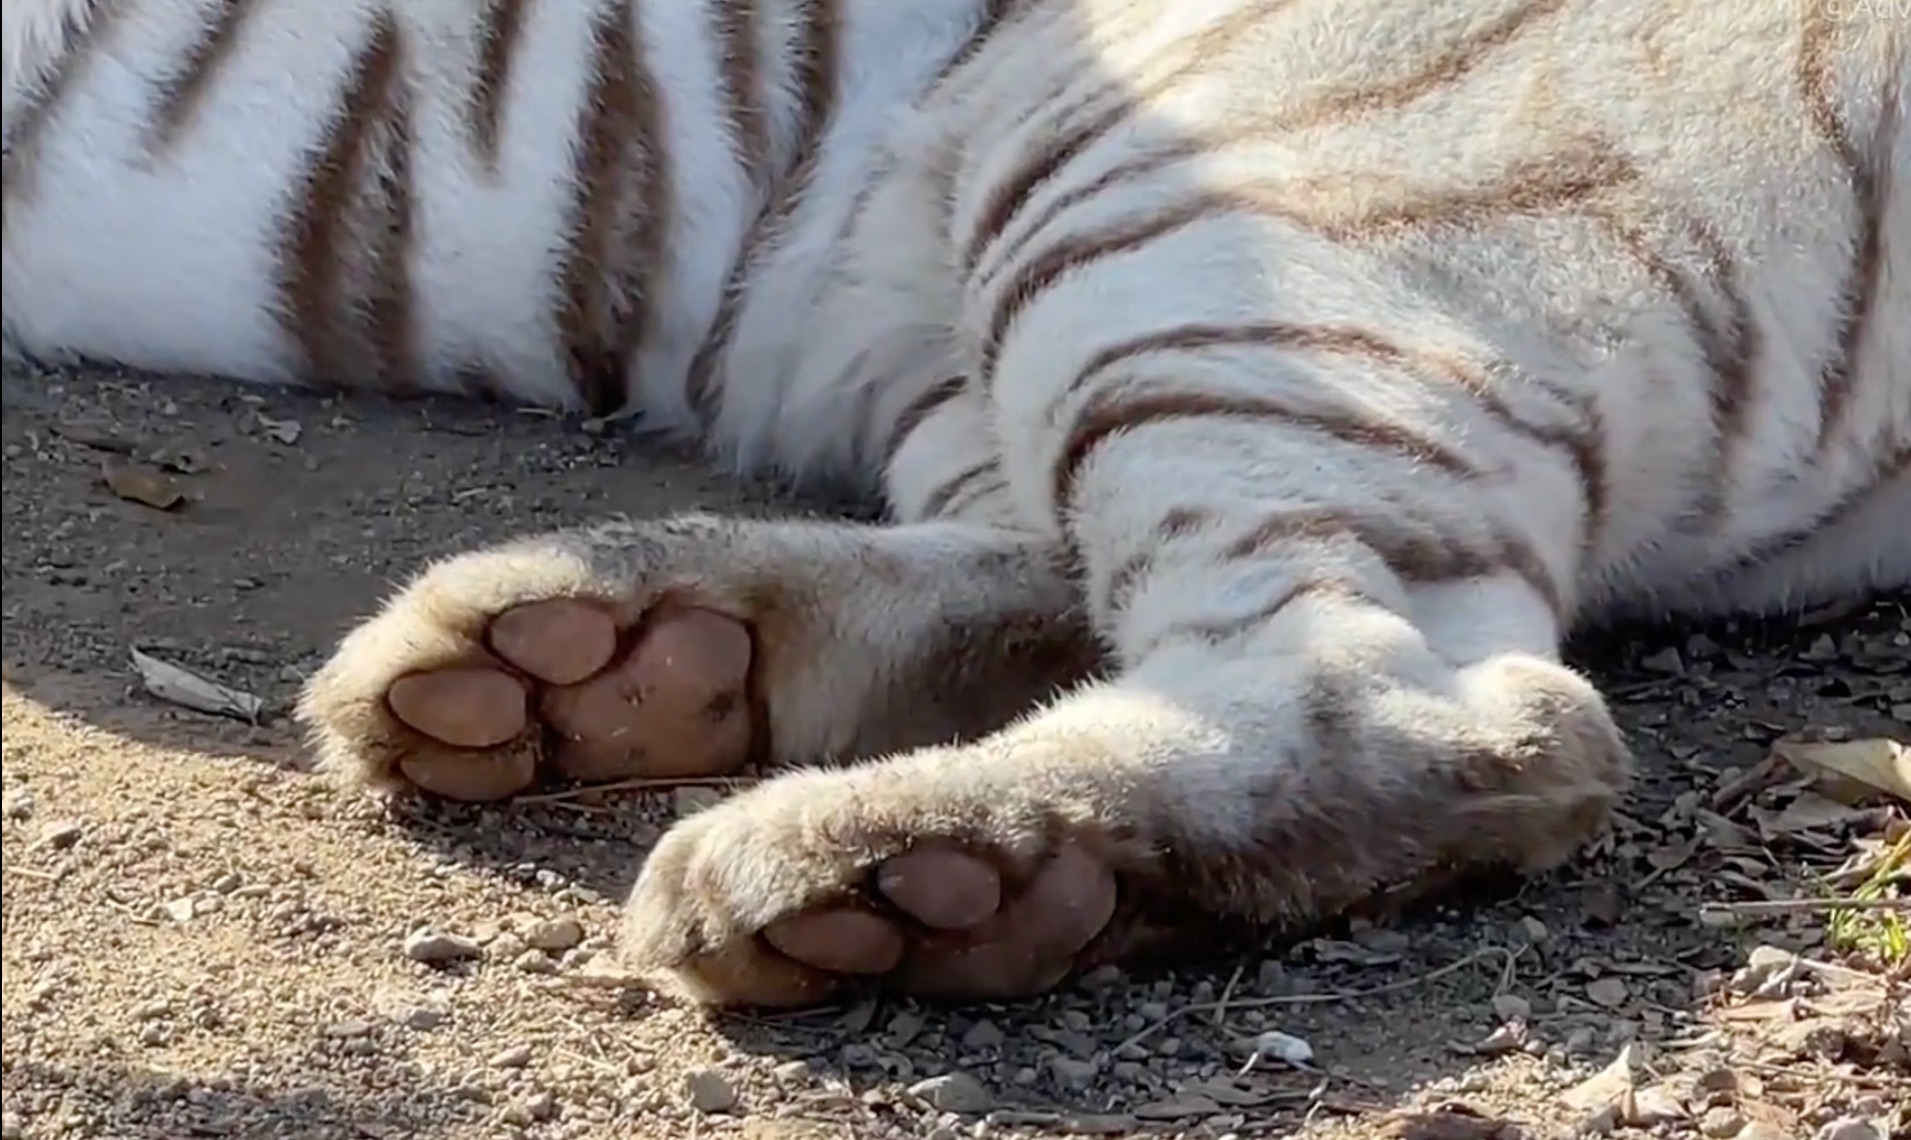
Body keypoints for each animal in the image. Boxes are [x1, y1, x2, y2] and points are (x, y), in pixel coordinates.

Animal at [3, 0, 1911, 1000]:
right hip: (946, 313)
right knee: (1081, 576)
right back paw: (597, 657)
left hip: (1190, 202)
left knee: (1440, 705)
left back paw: (885, 869)